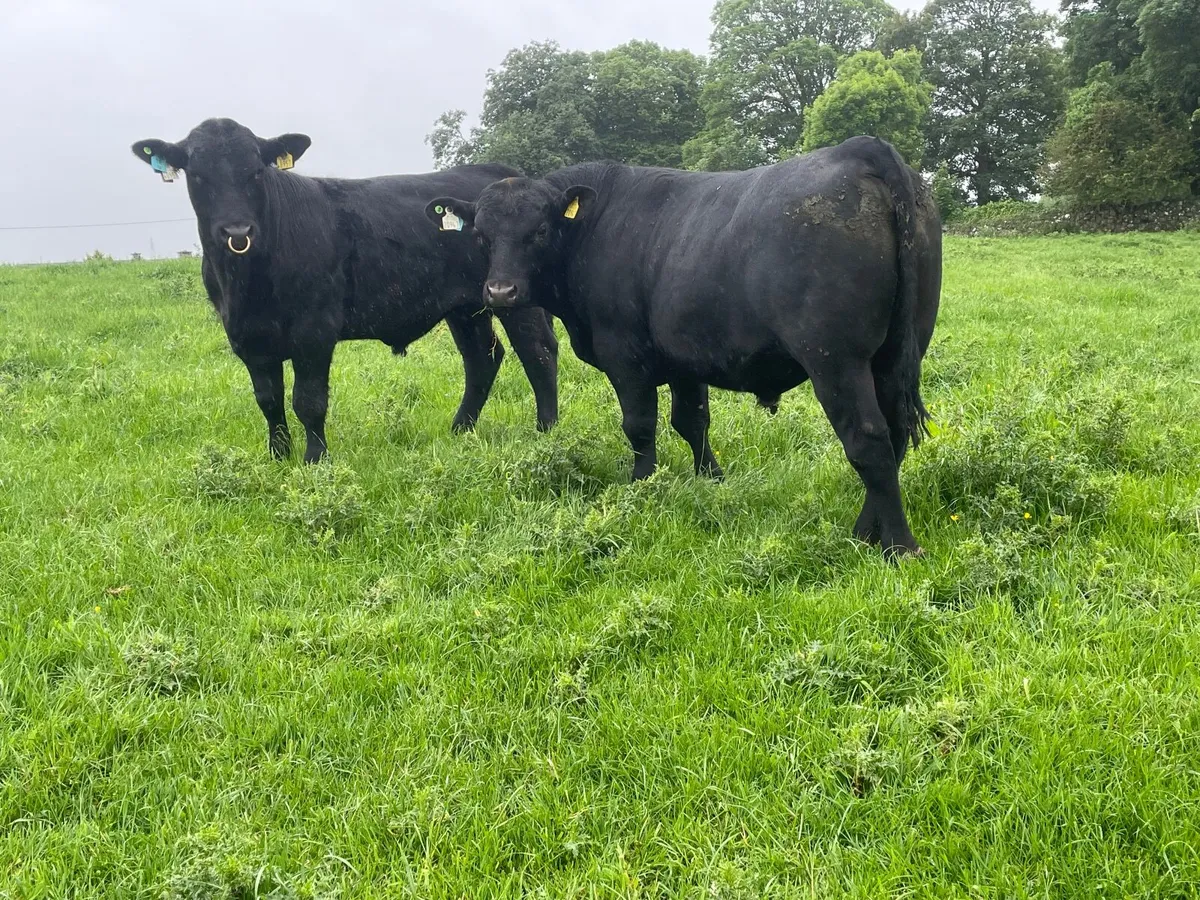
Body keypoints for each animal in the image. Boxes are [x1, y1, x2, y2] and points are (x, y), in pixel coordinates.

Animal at [130, 118, 558, 463]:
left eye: (255, 172)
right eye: (198, 175)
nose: (237, 231)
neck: (247, 282)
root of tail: (503, 175)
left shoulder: (314, 330)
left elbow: (308, 400)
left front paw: (315, 460)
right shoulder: (245, 336)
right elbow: (268, 400)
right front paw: (278, 456)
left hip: (512, 297)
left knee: (538, 353)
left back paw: (546, 432)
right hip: (465, 307)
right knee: (482, 358)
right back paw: (459, 430)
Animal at [424, 137, 941, 555]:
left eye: (541, 230)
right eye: (482, 234)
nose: (500, 292)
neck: (593, 230)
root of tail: (860, 150)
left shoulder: (625, 357)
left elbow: (640, 426)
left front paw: (640, 486)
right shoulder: (686, 360)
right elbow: (693, 422)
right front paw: (711, 480)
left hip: (837, 361)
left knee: (868, 440)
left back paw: (897, 545)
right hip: (895, 356)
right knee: (896, 434)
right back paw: (865, 530)